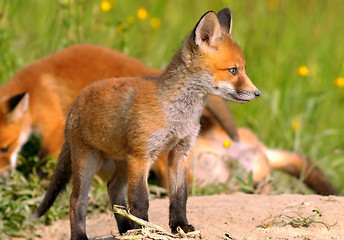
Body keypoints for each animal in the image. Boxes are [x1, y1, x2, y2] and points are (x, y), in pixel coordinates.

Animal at [33, 8, 260, 239]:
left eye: (243, 69)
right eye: (233, 70)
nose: (257, 93)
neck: (178, 115)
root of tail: (75, 104)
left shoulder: (180, 153)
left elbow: (179, 196)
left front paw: (180, 226)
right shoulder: (141, 156)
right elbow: (140, 200)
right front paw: (146, 229)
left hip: (121, 162)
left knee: (113, 189)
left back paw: (125, 229)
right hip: (88, 161)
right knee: (76, 200)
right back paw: (83, 235)